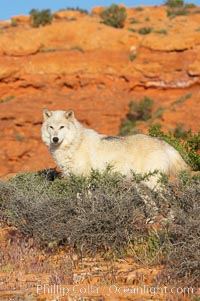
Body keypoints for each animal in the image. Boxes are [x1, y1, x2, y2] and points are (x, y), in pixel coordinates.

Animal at [41, 108, 189, 188]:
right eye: (51, 127)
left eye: (62, 127)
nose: (55, 139)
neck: (74, 143)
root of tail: (161, 142)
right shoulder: (73, 179)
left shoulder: (86, 179)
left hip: (151, 182)